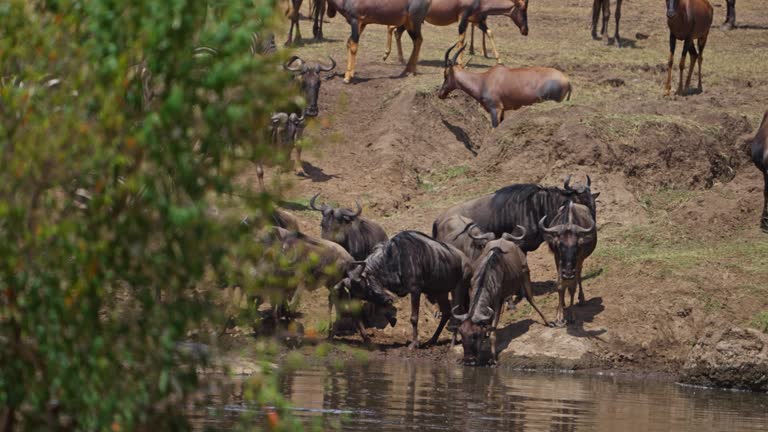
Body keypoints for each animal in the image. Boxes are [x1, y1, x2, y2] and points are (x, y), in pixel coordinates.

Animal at [384, 0, 528, 64]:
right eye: (522, 10)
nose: (525, 30)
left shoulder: (476, 21)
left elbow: (489, 32)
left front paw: (499, 60)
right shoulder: (463, 17)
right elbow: (462, 38)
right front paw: (460, 62)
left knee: (396, 32)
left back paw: (400, 59)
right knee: (393, 28)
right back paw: (388, 55)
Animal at [438, 44, 568, 128]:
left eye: (445, 74)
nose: (440, 94)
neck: (484, 80)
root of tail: (566, 80)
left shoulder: (495, 109)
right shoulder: (503, 110)